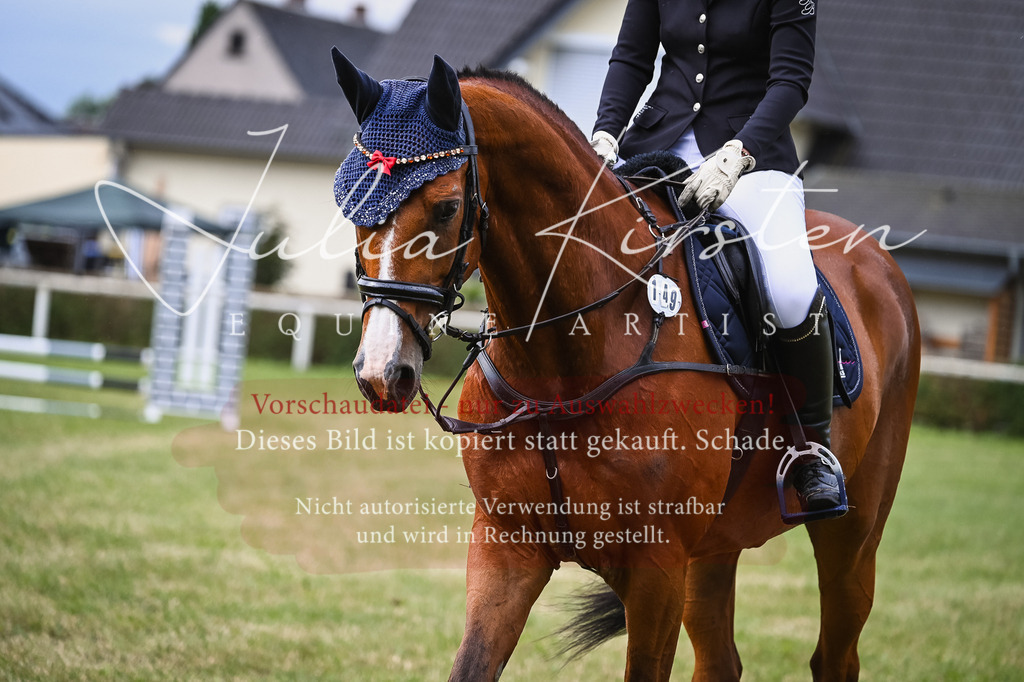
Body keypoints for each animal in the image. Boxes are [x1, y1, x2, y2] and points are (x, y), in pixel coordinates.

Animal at [331, 50, 920, 682]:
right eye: (351, 207)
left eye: (444, 207)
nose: (381, 372)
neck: (561, 361)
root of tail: (878, 259)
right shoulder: (505, 547)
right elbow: (471, 666)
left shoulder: (656, 567)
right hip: (713, 551)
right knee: (722, 659)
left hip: (852, 535)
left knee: (836, 652)